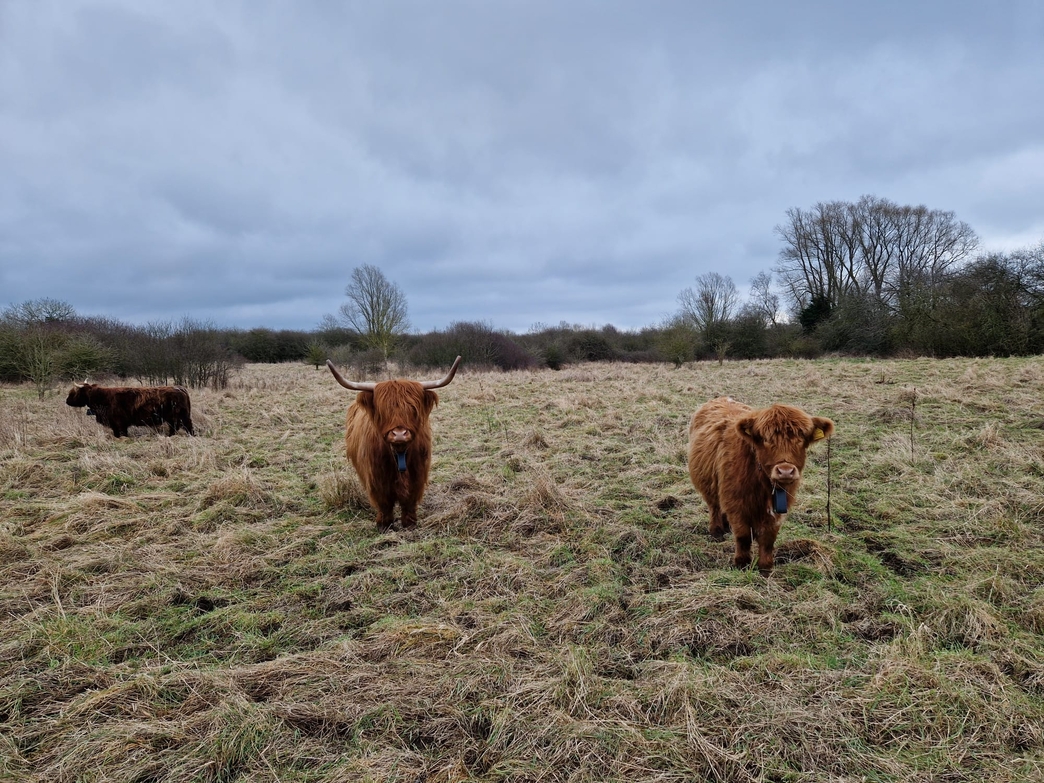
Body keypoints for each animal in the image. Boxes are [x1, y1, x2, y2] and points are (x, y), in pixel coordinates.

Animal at [65, 384, 196, 438]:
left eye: (73, 393)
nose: (66, 400)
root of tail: (180, 388)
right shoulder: (114, 423)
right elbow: (117, 433)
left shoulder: (119, 421)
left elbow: (122, 433)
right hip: (173, 417)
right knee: (174, 427)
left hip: (181, 416)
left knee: (187, 426)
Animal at [325, 357, 457, 534]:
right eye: (383, 410)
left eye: (413, 409)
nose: (399, 434)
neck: (399, 454)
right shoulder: (376, 476)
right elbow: (384, 502)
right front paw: (384, 525)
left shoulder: (418, 475)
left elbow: (409, 501)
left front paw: (409, 524)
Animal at [689, 398, 835, 576]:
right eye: (766, 439)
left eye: (801, 438)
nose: (785, 471)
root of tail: (720, 398)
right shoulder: (736, 504)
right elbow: (743, 536)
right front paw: (742, 563)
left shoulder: (776, 510)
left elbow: (768, 538)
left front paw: (765, 567)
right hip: (710, 484)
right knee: (714, 505)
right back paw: (716, 530)